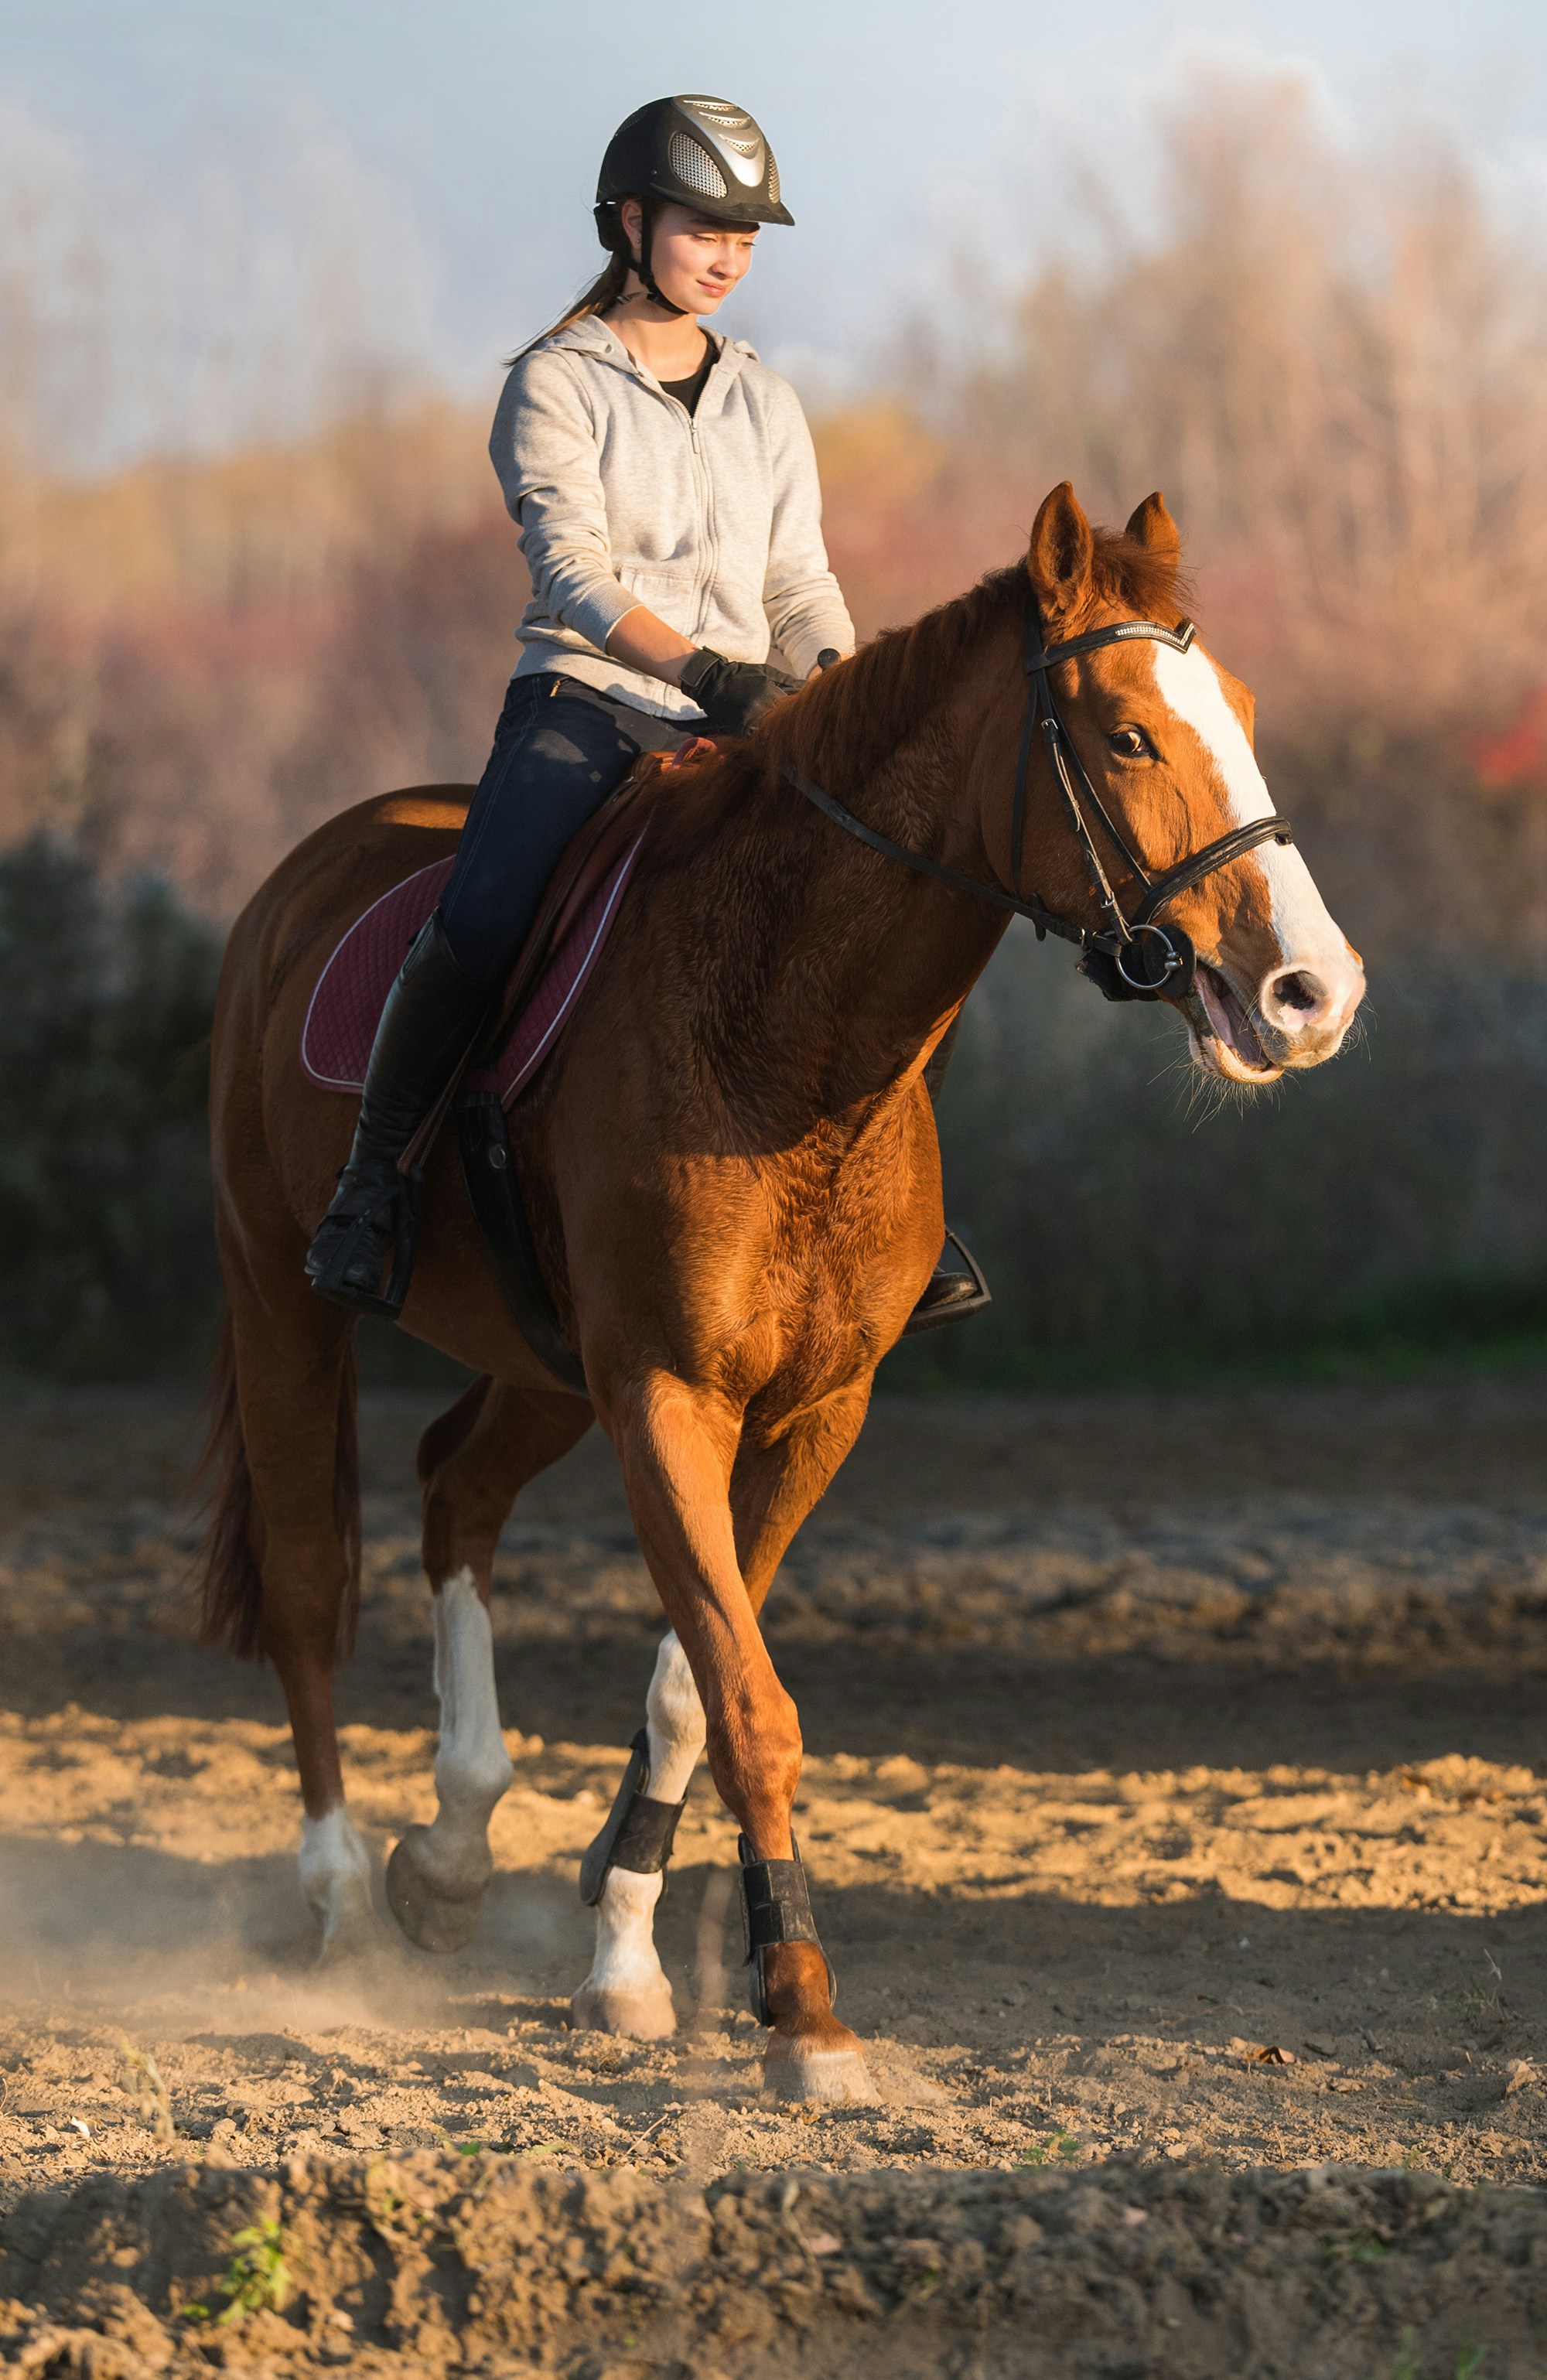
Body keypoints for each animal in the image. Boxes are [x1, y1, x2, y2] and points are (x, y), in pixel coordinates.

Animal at [195, 481, 1365, 2103]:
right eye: (1129, 734)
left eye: (1238, 712)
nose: (1315, 992)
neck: (793, 1042)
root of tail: (310, 870)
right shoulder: (667, 1397)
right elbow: (748, 1698)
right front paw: (798, 2013)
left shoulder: (813, 1410)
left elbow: (694, 1682)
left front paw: (639, 1958)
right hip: (284, 1296)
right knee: (311, 1579)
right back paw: (341, 1901)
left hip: (546, 1365)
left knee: (454, 1488)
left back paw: (449, 1851)